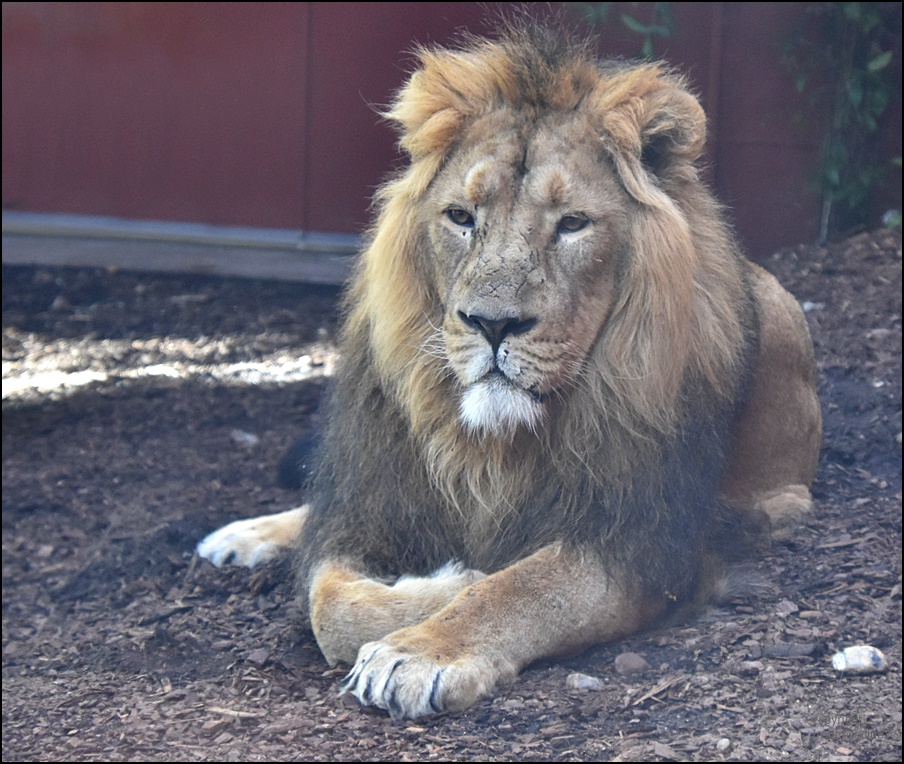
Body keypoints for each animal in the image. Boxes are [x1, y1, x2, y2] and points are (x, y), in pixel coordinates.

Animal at [198, 22, 820, 716]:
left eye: (572, 224)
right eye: (461, 218)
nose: (492, 325)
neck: (490, 446)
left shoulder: (638, 541)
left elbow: (520, 588)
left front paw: (424, 645)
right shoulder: (371, 502)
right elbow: (328, 601)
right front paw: (440, 581)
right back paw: (243, 535)